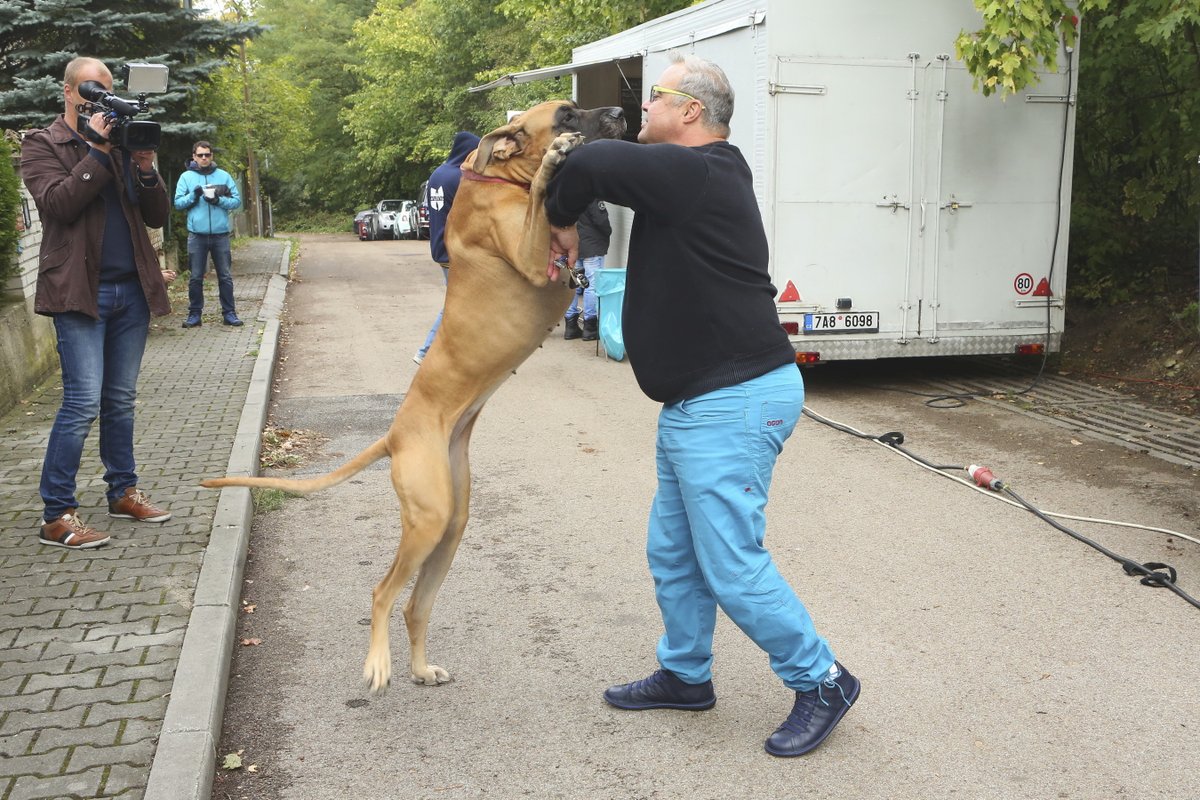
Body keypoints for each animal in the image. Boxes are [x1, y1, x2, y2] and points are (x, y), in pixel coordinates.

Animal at [200, 101, 624, 695]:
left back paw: (421, 668)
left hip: (450, 521)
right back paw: (379, 663)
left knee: (414, 606)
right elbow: (543, 201)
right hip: (427, 519)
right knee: (383, 592)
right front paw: (554, 161)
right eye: (566, 113)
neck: (497, 178)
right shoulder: (530, 255)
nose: (620, 110)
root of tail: (393, 436)